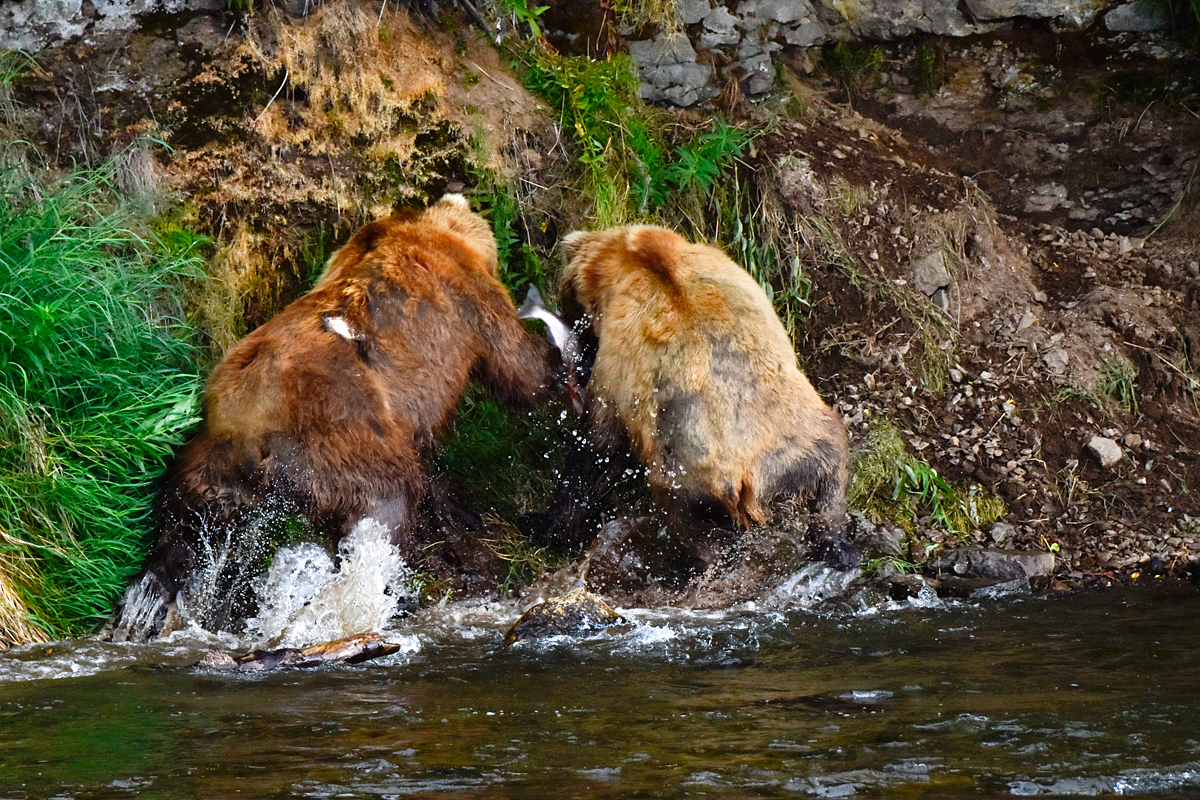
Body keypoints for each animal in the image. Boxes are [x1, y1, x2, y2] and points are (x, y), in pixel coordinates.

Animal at [114, 194, 554, 638]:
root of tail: (251, 434)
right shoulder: (468, 298)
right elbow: (518, 366)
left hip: (205, 472)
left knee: (180, 537)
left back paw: (145, 605)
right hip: (339, 441)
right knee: (384, 512)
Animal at [549, 224, 854, 568]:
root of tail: (741, 476)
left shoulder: (615, 369)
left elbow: (596, 447)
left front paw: (553, 525)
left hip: (687, 483)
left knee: (689, 530)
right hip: (792, 446)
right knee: (832, 467)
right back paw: (836, 544)